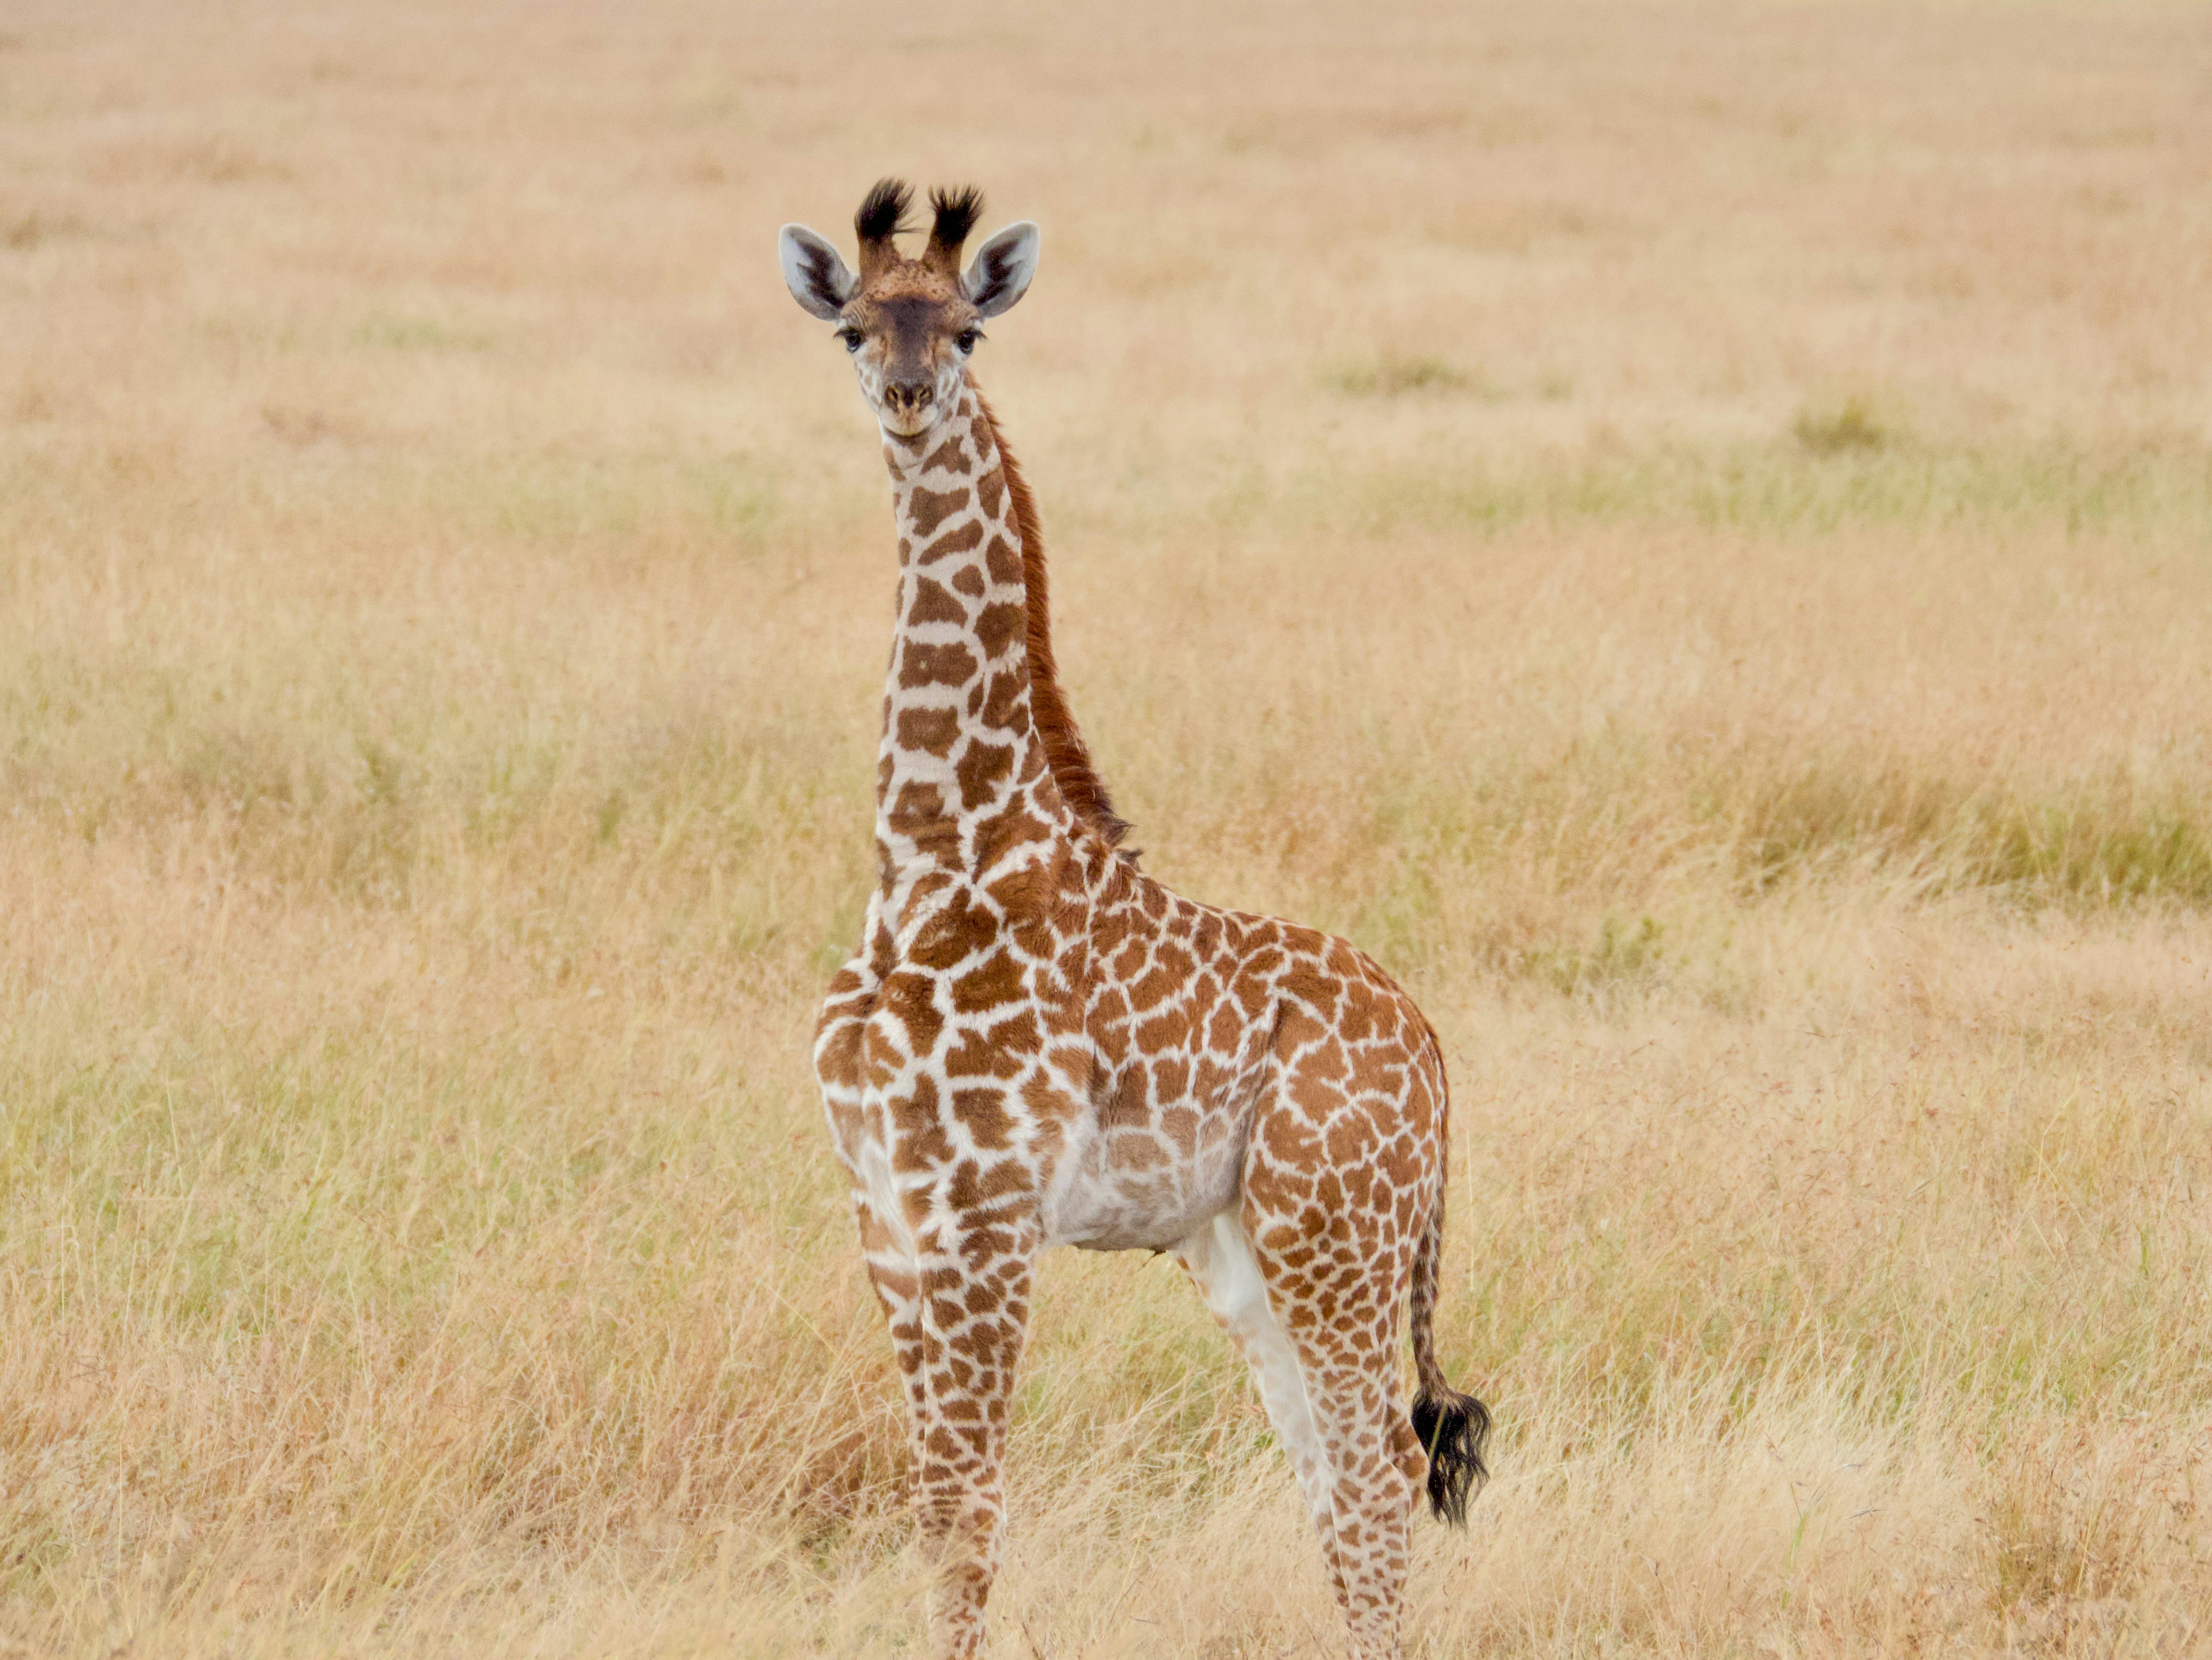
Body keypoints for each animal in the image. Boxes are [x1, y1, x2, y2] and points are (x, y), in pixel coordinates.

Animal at [780, 180, 1490, 1660]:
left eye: (970, 330)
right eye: (856, 327)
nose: (910, 397)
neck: (930, 846)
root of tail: (1436, 1054)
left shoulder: (984, 1207)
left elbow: (971, 1508)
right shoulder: (882, 1202)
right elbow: (934, 1499)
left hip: (1333, 1230)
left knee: (1377, 1462)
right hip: (1249, 1245)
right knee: (1331, 1466)